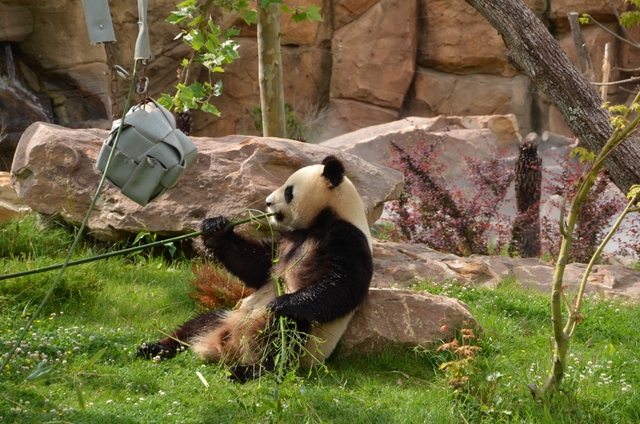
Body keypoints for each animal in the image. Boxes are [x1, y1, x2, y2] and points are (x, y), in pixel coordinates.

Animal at [138, 155, 372, 380]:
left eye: (288, 191)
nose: (268, 202)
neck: (323, 218)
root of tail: (226, 348)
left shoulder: (348, 239)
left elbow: (343, 284)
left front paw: (283, 302)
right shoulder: (285, 240)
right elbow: (257, 265)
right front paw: (215, 228)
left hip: (301, 343)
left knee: (281, 336)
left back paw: (248, 370)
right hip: (228, 317)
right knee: (198, 324)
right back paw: (156, 348)